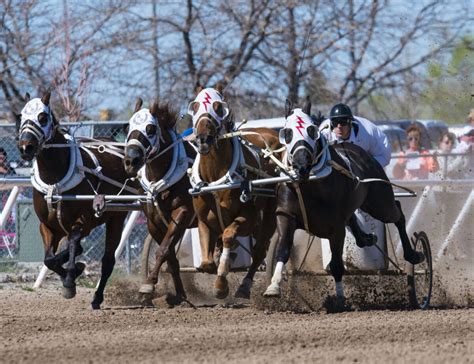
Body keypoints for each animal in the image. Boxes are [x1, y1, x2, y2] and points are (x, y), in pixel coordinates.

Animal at [123, 97, 197, 304]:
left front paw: (148, 284)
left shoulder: (183, 211)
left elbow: (163, 250)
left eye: (150, 128)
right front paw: (180, 295)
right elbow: (170, 255)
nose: (130, 161)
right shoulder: (154, 220)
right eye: (128, 127)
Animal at [191, 84, 284, 298]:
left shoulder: (248, 217)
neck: (216, 180)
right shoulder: (204, 220)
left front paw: (221, 283)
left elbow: (228, 235)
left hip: (270, 212)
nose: (203, 138)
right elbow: (207, 262)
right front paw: (217, 261)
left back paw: (245, 286)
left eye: (218, 107)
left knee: (260, 250)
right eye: (195, 106)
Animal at [264, 98, 424, 306]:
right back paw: (366, 238)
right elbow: (282, 250)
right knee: (356, 220)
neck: (310, 184)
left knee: (397, 213)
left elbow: (337, 265)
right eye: (287, 132)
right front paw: (274, 286)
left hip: (379, 203)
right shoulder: (286, 216)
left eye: (312, 130)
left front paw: (340, 299)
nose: (301, 164)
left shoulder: (336, 227)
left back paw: (413, 254)